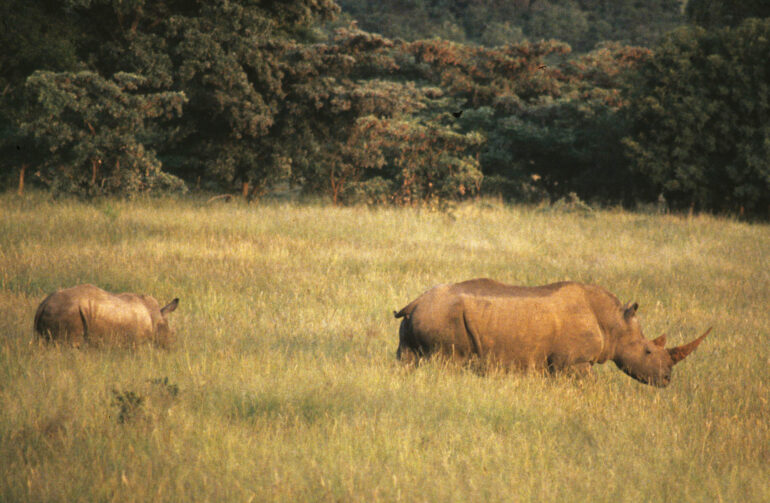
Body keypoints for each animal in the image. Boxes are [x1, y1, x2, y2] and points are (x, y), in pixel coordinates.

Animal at [34, 284, 179, 348]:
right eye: (170, 334)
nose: (171, 347)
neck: (157, 317)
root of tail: (44, 304)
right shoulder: (136, 341)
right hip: (68, 311)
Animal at [394, 278, 710, 387]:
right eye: (647, 351)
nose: (667, 380)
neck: (614, 323)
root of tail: (415, 301)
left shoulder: (554, 364)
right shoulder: (573, 363)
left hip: (419, 318)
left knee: (407, 361)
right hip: (443, 317)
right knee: (447, 362)